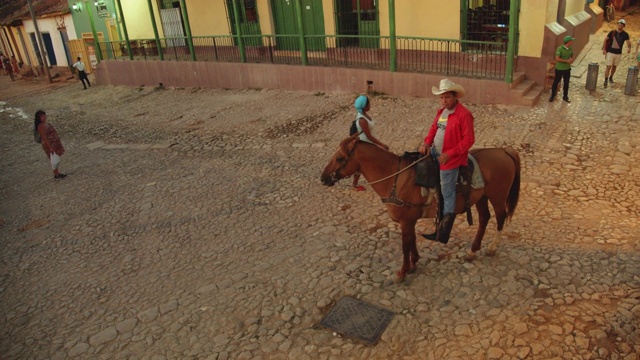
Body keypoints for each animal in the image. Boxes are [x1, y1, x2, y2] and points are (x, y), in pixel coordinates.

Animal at [320, 136, 520, 284]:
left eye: (339, 158)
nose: (323, 178)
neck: (395, 178)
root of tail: (503, 151)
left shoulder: (406, 221)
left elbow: (405, 245)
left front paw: (403, 271)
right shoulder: (409, 221)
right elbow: (412, 240)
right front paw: (414, 263)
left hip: (497, 197)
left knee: (500, 218)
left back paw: (492, 248)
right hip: (481, 197)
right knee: (485, 218)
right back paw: (472, 251)